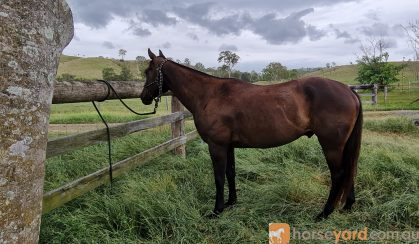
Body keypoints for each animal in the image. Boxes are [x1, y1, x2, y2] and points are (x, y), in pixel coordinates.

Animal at [139, 49, 362, 219]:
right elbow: (230, 173)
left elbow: (218, 177)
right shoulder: (228, 146)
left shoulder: (217, 146)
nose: (143, 97)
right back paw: (348, 205)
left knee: (339, 174)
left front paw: (217, 210)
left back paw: (325, 213)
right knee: (350, 169)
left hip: (331, 145)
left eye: (148, 71)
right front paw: (231, 203)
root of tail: (348, 90)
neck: (209, 95)